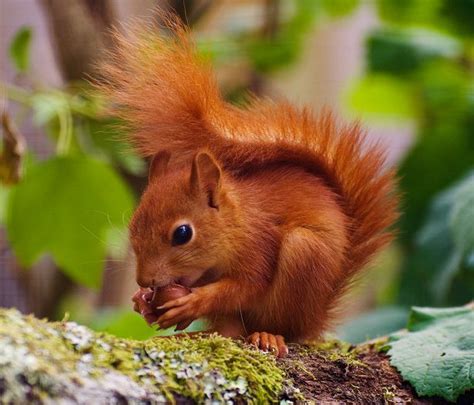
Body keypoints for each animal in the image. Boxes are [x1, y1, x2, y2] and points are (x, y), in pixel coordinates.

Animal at [99, 18, 396, 356]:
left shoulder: (259, 243)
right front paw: (142, 302)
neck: (236, 222)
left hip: (304, 256)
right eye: (133, 226)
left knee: (276, 327)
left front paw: (194, 301)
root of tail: (316, 318)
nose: (144, 281)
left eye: (182, 234)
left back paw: (268, 335)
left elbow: (247, 287)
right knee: (227, 330)